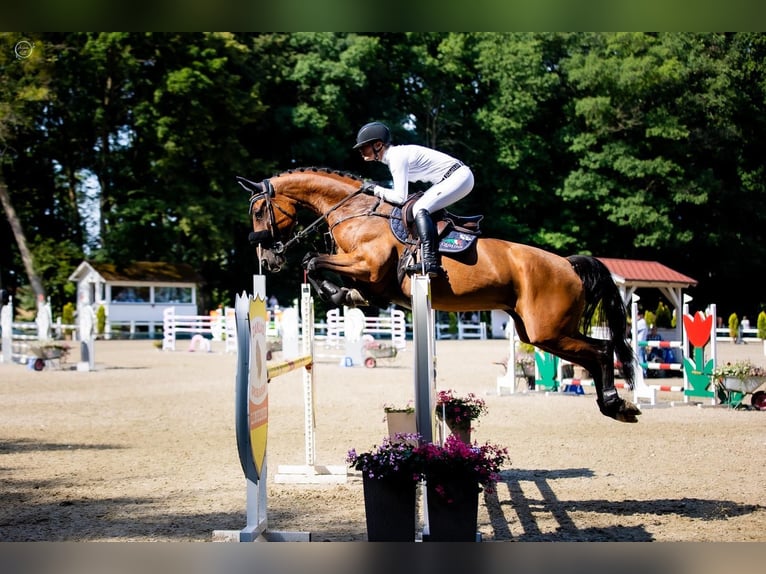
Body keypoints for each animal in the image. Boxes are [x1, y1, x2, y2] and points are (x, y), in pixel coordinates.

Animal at [240, 166, 640, 424]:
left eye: (259, 210)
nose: (267, 259)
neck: (356, 213)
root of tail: (568, 265)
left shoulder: (367, 267)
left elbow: (312, 260)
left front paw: (334, 292)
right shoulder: (369, 278)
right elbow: (321, 269)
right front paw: (344, 296)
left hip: (548, 330)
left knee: (601, 350)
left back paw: (616, 404)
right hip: (536, 332)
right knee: (594, 353)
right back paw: (616, 405)